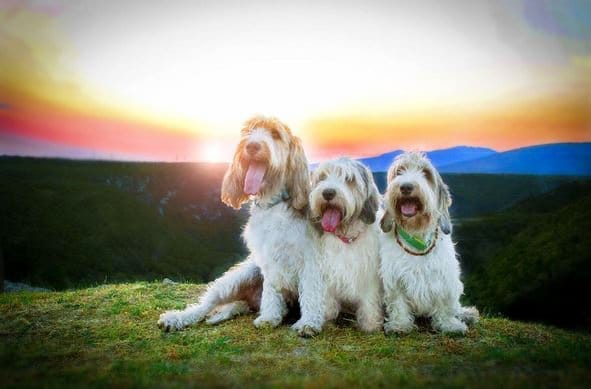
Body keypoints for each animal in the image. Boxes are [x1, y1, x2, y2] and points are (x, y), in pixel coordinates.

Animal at [157, 114, 324, 334]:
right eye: (248, 131)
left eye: (275, 134)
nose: (251, 145)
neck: (273, 204)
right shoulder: (267, 259)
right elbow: (271, 291)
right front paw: (269, 317)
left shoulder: (310, 259)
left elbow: (312, 292)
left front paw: (308, 322)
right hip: (239, 276)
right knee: (206, 304)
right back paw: (177, 318)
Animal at [310, 156, 384, 332]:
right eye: (322, 177)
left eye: (349, 179)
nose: (328, 192)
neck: (346, 236)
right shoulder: (326, 271)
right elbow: (328, 298)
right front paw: (325, 317)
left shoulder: (369, 273)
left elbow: (369, 300)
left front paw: (371, 324)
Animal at [380, 152, 480, 334]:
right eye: (399, 172)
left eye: (425, 173)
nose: (406, 187)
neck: (416, 234)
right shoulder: (395, 278)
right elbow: (398, 303)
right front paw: (399, 324)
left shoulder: (444, 277)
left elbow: (445, 304)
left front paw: (449, 324)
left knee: (455, 307)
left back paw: (466, 314)